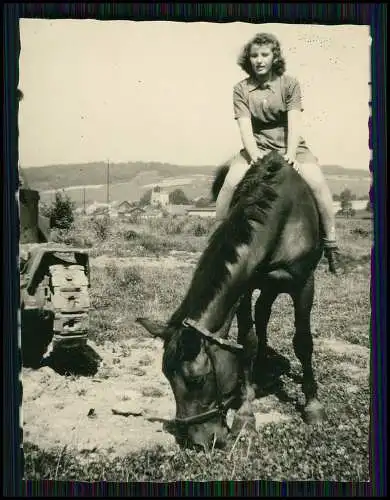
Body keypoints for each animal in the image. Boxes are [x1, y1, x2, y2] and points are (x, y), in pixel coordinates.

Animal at [137, 151, 326, 450]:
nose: (198, 441)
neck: (282, 216)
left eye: (197, 380)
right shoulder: (245, 287)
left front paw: (313, 405)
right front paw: (246, 415)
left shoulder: (304, 283)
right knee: (262, 316)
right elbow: (247, 342)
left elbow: (304, 342)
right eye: (167, 377)